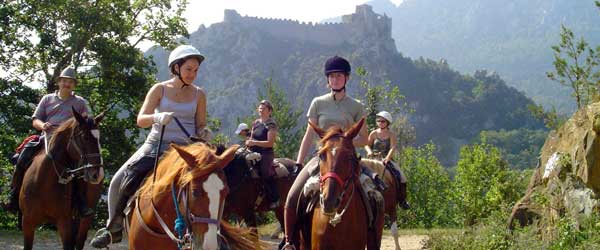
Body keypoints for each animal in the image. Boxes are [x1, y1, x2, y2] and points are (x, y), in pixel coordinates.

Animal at [19, 109, 104, 250]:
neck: (44, 183)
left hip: (85, 219)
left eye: (98, 139)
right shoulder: (28, 222)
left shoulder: (65, 223)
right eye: (85, 137)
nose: (98, 174)